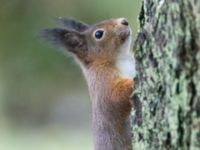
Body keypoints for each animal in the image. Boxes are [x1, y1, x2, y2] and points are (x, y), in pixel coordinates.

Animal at [41, 17, 136, 150]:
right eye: (98, 34)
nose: (124, 21)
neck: (121, 58)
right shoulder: (101, 81)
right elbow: (115, 96)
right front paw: (133, 81)